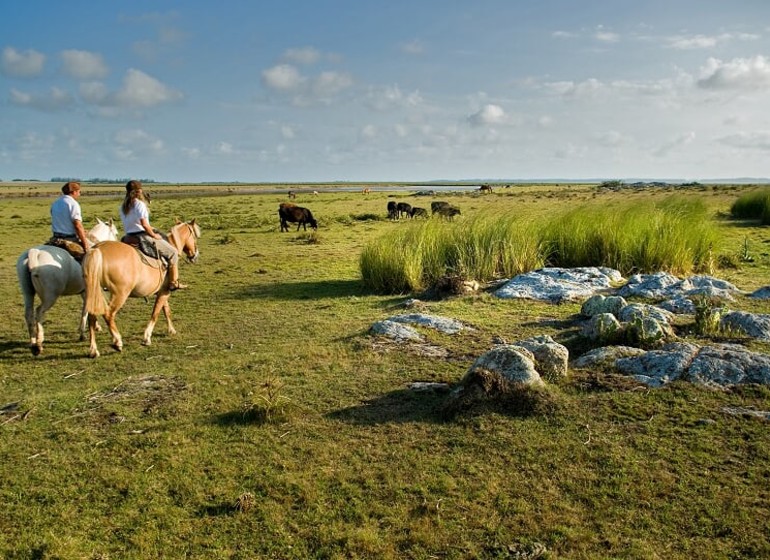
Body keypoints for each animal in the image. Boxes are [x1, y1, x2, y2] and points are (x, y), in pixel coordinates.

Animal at [15, 219, 118, 354]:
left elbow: (86, 308)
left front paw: (92, 328)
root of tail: (35, 253)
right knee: (39, 312)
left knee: (28, 313)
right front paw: (84, 333)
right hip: (50, 297)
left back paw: (32, 343)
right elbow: (88, 309)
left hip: (27, 292)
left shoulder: (84, 292)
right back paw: (38, 343)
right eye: (116, 233)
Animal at [82, 220, 200, 358]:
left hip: (95, 292)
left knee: (92, 315)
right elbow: (156, 313)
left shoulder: (162, 291)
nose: (195, 255)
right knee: (108, 314)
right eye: (194, 236)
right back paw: (117, 342)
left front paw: (171, 330)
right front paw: (147, 337)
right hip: (120, 294)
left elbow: (166, 310)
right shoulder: (165, 291)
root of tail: (97, 249)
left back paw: (93, 350)